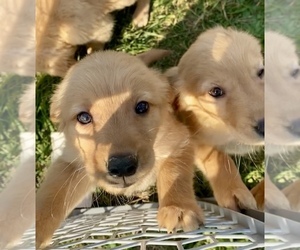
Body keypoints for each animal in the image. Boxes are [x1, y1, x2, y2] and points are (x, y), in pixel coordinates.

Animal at [36, 49, 203, 247]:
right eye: (83, 117)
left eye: (142, 106)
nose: (122, 166)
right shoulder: (71, 161)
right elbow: (50, 197)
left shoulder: (178, 139)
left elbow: (174, 172)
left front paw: (177, 208)